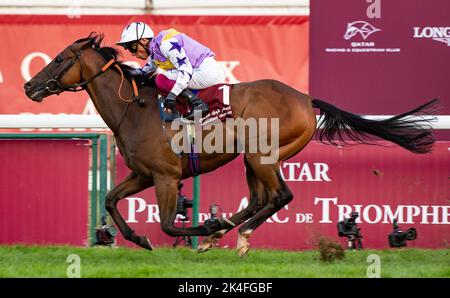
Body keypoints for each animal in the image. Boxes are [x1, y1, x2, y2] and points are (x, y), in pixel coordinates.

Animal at [22, 33, 438, 255]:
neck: (135, 108)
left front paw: (199, 227)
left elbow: (169, 224)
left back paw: (235, 234)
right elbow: (110, 200)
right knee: (259, 199)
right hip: (254, 159)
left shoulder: (166, 176)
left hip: (262, 154)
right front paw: (139, 238)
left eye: (59, 59)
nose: (28, 86)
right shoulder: (143, 174)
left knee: (281, 195)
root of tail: (305, 98)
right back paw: (223, 230)